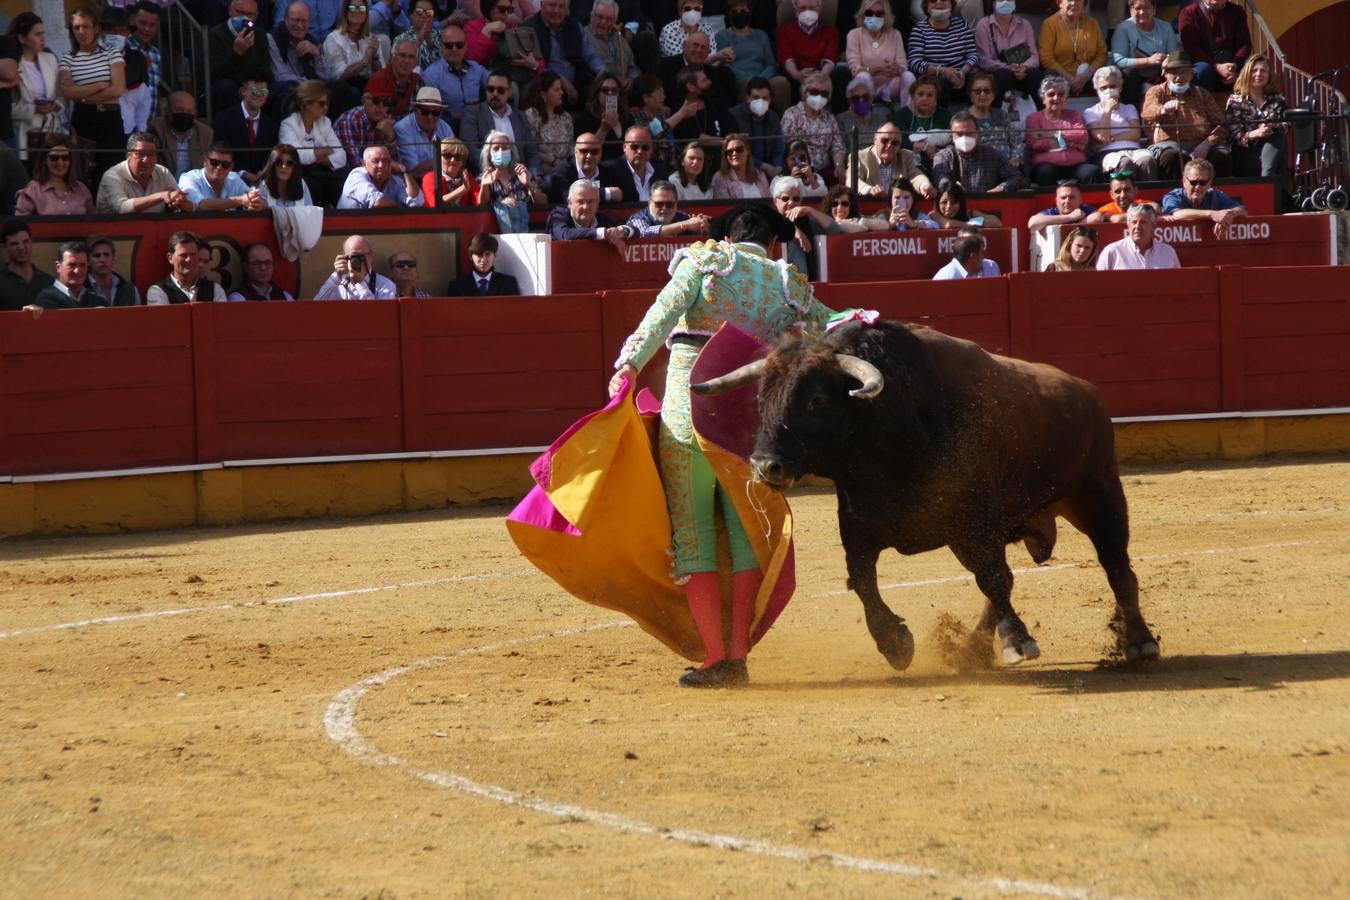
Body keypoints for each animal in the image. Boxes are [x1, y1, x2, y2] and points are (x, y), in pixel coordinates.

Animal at [696, 319, 1161, 666]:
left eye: (815, 402)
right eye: (761, 400)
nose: (764, 465)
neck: (890, 425)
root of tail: (1087, 390)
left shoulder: (973, 522)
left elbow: (993, 578)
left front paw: (1018, 639)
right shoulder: (860, 526)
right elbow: (863, 583)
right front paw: (895, 644)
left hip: (1099, 496)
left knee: (1117, 567)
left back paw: (1139, 642)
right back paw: (972, 651)